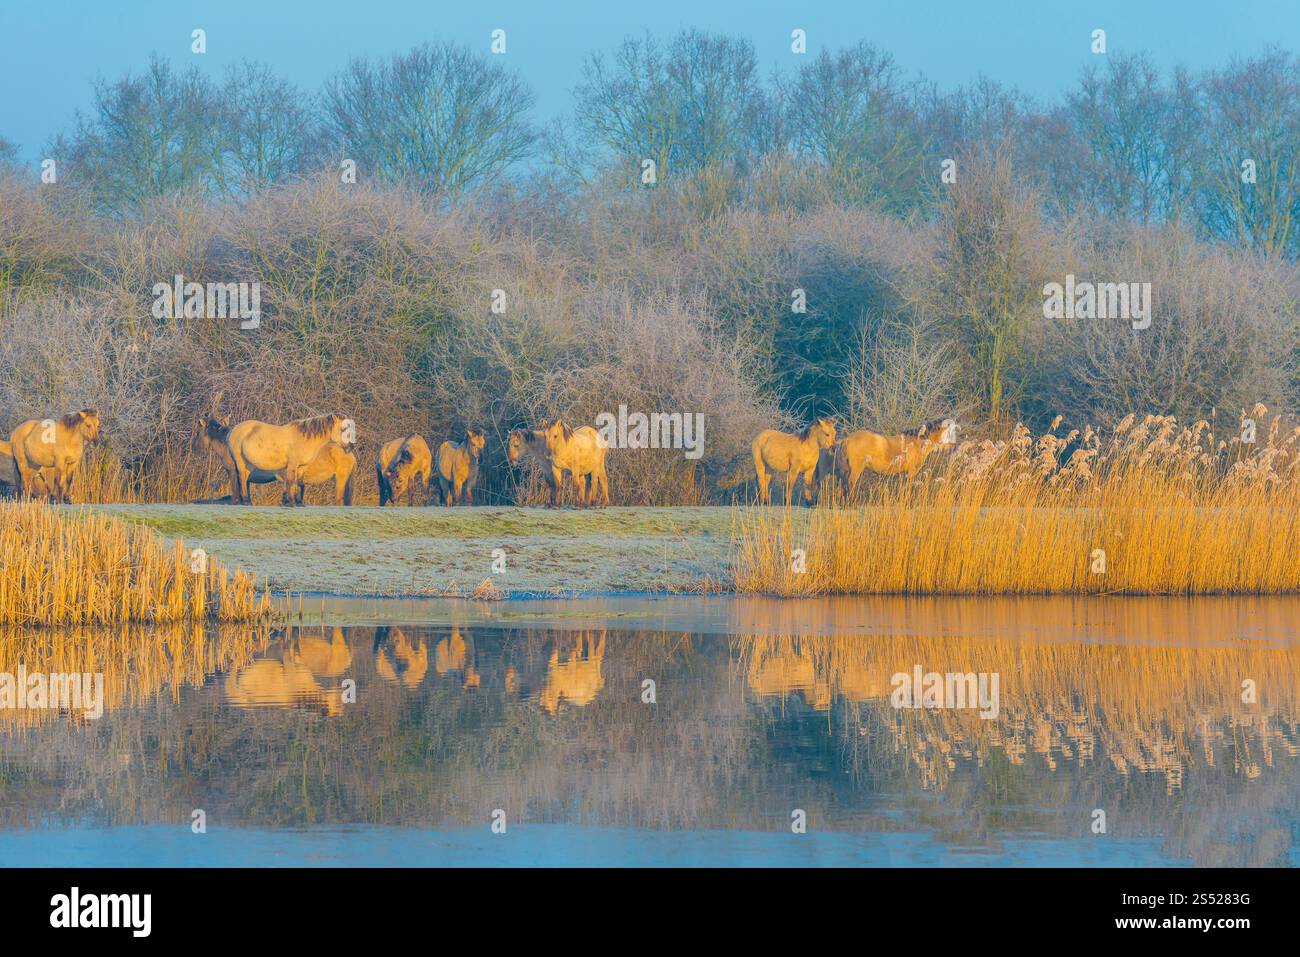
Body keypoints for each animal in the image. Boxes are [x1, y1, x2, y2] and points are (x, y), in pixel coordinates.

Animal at [192, 408, 356, 504]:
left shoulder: (301, 467)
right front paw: (290, 503)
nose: (350, 447)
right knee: (243, 479)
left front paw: (296, 503)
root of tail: (233, 432)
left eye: (198, 432)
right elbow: (291, 483)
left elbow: (297, 484)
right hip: (241, 462)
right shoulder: (292, 465)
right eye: (343, 429)